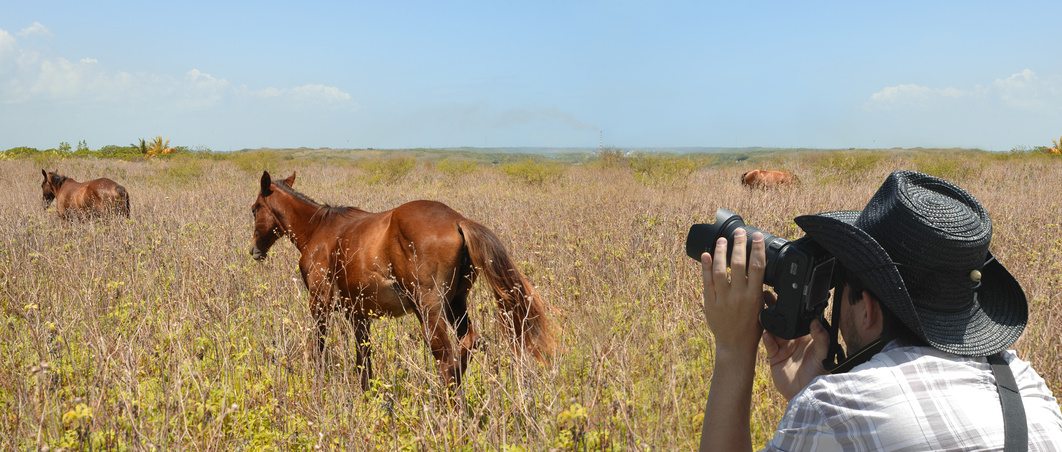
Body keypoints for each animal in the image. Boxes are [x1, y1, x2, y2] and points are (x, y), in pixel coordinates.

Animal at [247, 170, 556, 390]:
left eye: (254, 208)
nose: (254, 251)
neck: (319, 230)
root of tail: (458, 220)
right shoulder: (358, 313)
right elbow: (363, 356)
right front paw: (366, 393)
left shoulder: (320, 303)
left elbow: (319, 346)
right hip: (456, 304)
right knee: (468, 344)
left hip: (429, 309)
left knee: (445, 357)